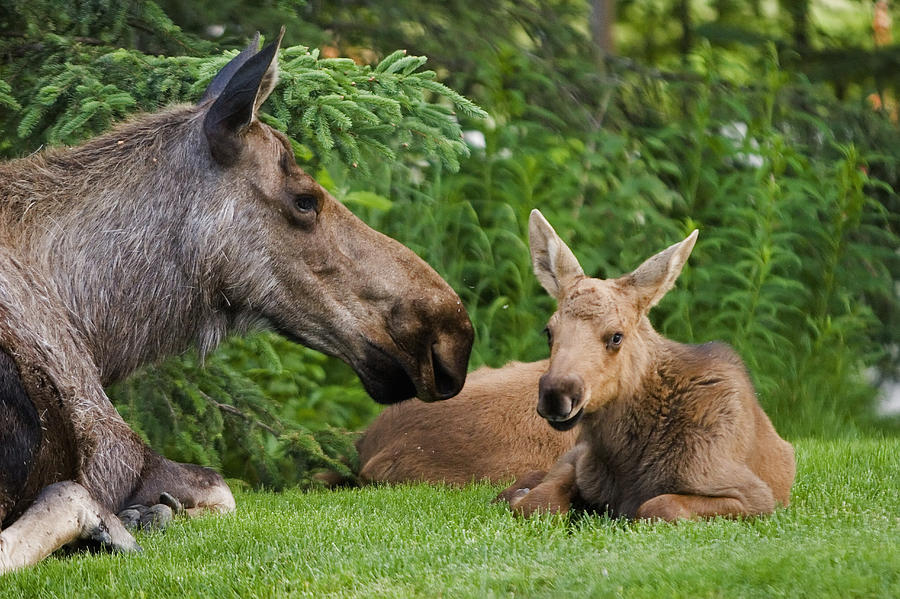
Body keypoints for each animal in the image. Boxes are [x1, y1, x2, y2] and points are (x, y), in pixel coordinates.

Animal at [0, 30, 474, 576]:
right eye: (305, 199)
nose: (452, 335)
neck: (92, 322)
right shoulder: (113, 448)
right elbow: (222, 490)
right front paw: (148, 513)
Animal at [496, 211, 800, 520]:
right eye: (549, 331)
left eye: (616, 336)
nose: (556, 394)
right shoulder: (580, 460)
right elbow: (539, 501)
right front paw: (519, 495)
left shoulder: (755, 497)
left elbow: (658, 505)